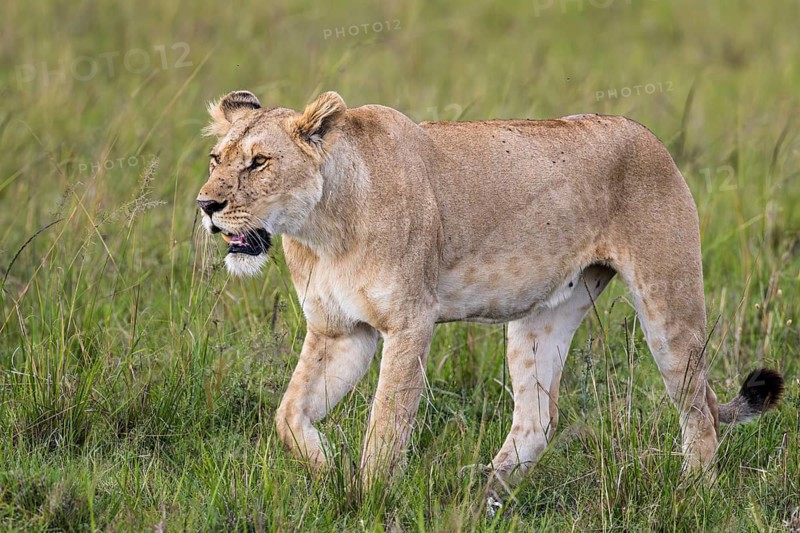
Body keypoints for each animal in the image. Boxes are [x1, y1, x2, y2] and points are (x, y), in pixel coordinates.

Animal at [196, 90, 784, 494]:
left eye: (259, 162)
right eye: (217, 159)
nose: (206, 205)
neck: (320, 231)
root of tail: (647, 135)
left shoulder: (409, 322)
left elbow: (386, 423)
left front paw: (367, 495)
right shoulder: (341, 330)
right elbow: (289, 414)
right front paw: (328, 469)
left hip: (669, 302)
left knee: (698, 410)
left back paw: (692, 493)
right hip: (544, 315)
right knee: (537, 420)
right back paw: (483, 495)